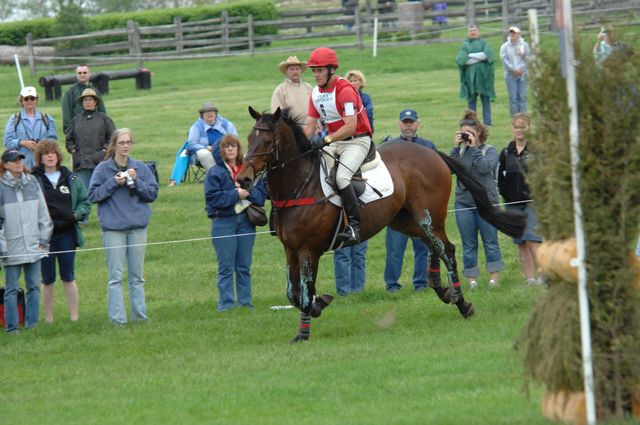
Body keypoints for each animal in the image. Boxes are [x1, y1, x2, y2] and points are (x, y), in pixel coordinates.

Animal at [238, 107, 524, 342]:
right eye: (249, 139)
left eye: (267, 141)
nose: (243, 179)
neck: (300, 185)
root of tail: (433, 153)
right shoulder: (291, 250)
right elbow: (294, 294)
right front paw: (320, 305)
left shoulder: (309, 250)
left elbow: (305, 294)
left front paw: (303, 333)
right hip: (407, 221)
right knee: (435, 246)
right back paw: (442, 289)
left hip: (427, 216)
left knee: (448, 251)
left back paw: (462, 303)